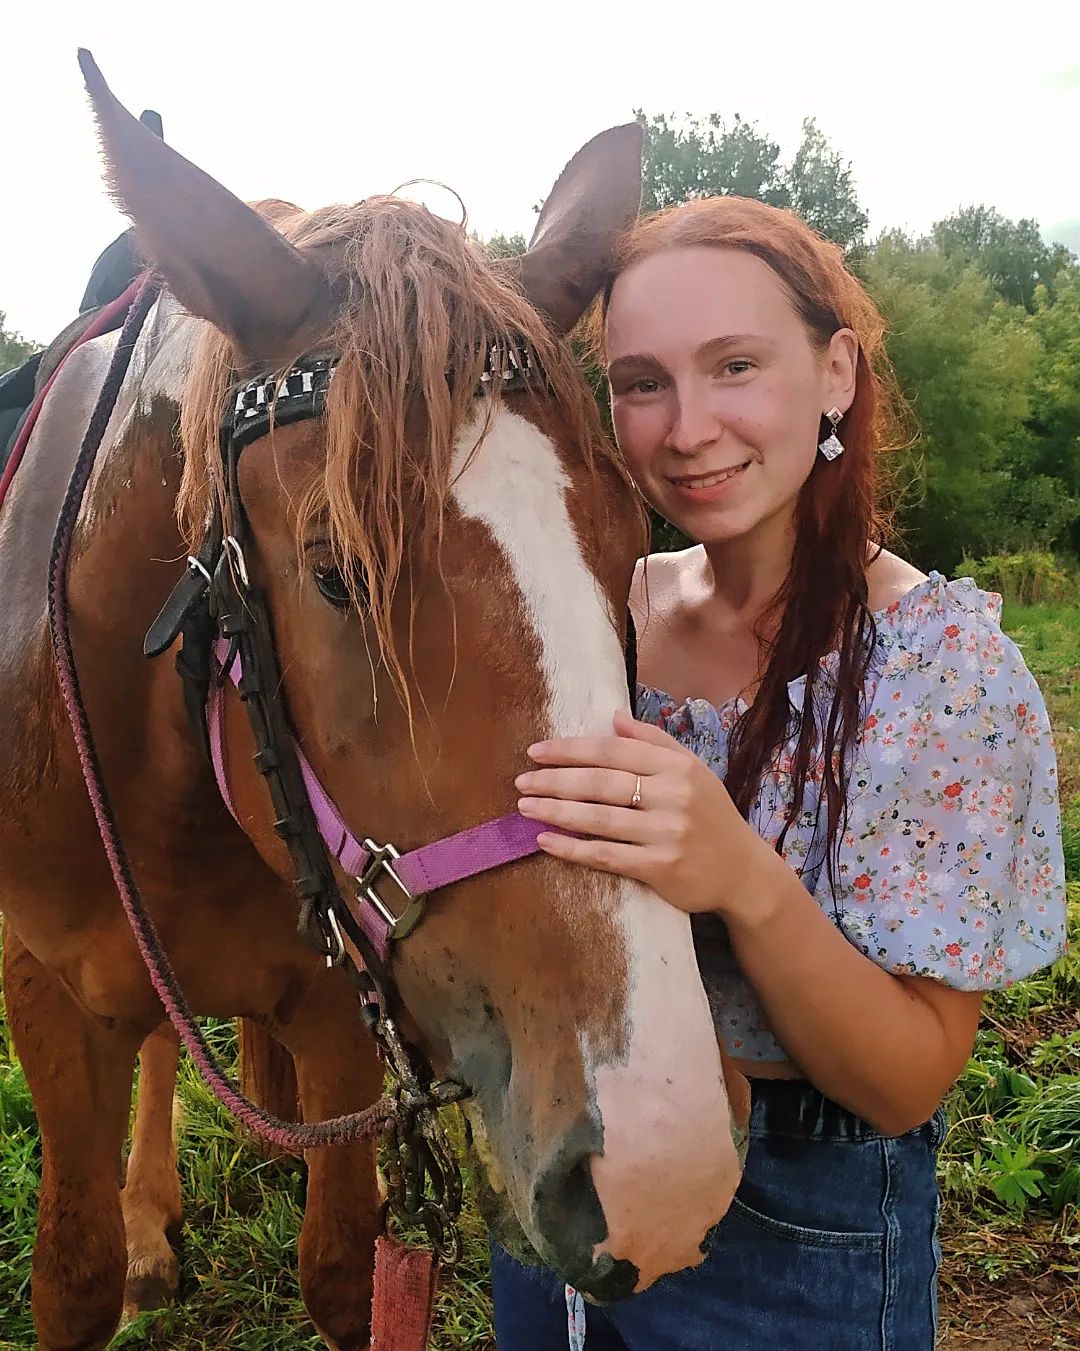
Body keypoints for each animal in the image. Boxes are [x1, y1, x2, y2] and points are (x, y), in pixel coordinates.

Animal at [0, 52, 746, 1350]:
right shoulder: (42, 989)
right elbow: (74, 1277)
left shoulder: (344, 1006)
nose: (663, 1164)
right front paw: (123, 1242)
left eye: (626, 547)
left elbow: (343, 1265)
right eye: (337, 571)